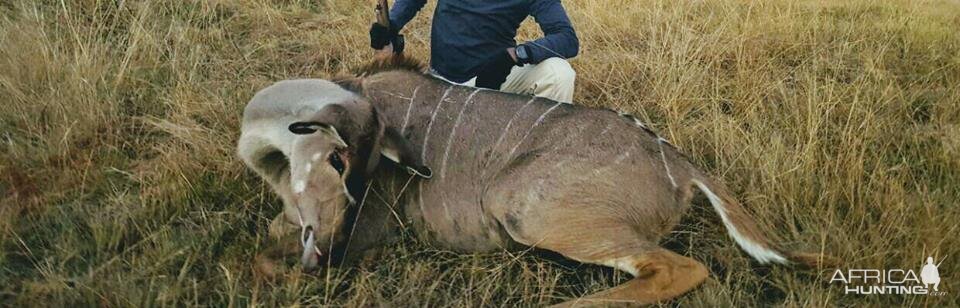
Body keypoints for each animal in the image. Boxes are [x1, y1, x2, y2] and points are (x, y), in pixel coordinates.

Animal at [236, 56, 828, 306]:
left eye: (345, 165)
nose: (328, 257)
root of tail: (678, 164)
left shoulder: (370, 229)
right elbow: (259, 253)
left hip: (524, 206)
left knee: (679, 268)